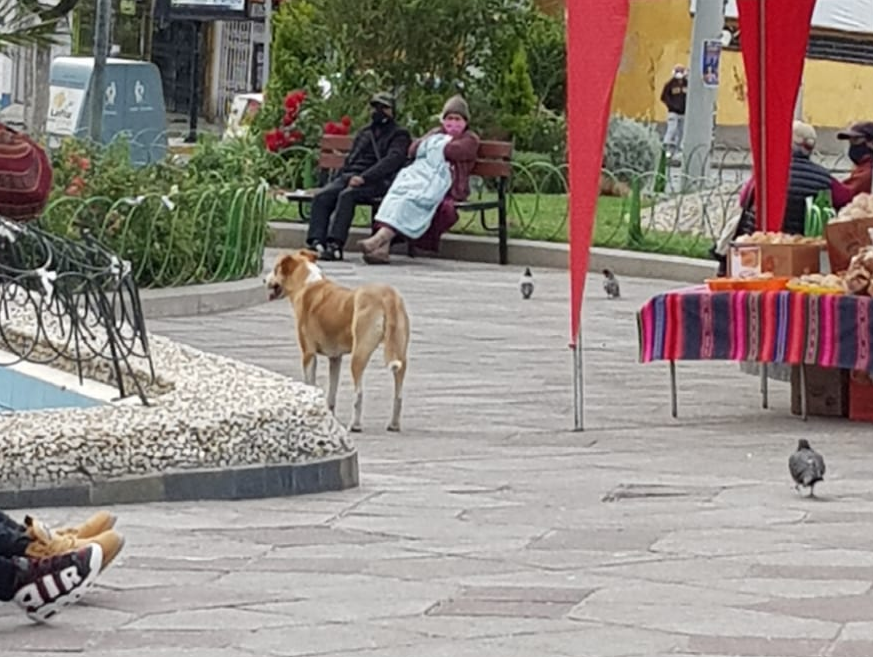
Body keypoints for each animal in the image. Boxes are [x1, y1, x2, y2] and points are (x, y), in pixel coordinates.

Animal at [264, 249, 410, 432]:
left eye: (275, 269)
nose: (264, 280)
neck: (306, 283)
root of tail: (387, 296)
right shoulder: (335, 358)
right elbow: (332, 390)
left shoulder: (308, 354)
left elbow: (310, 383)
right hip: (400, 352)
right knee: (399, 393)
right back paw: (394, 424)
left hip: (359, 352)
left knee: (359, 393)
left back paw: (355, 425)